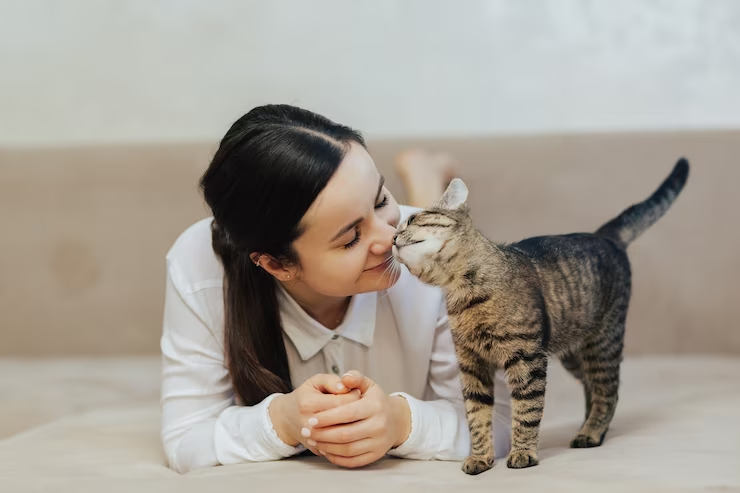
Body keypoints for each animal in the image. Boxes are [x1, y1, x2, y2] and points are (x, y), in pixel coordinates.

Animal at [394, 158, 688, 472]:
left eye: (411, 220)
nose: (392, 237)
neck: (463, 291)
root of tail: (603, 235)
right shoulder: (472, 363)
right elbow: (476, 416)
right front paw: (480, 457)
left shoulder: (526, 358)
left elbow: (526, 409)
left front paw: (523, 452)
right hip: (574, 353)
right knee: (592, 387)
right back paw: (587, 426)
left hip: (602, 343)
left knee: (608, 391)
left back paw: (591, 432)